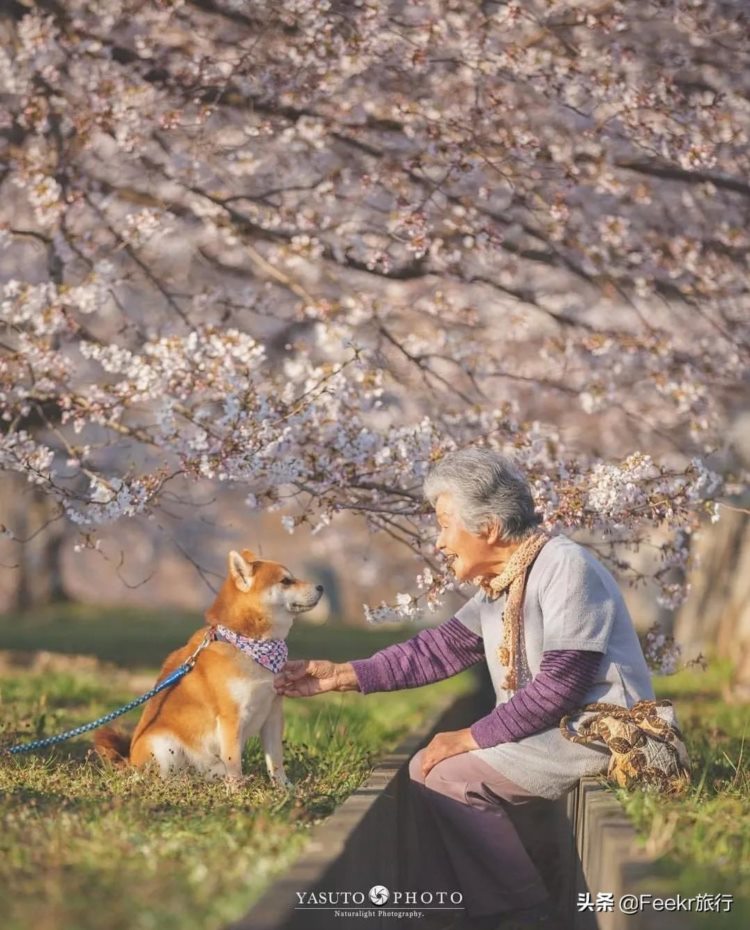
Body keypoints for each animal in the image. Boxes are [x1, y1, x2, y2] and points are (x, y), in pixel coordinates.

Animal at [94, 548, 324, 780]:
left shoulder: (272, 713)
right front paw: (238, 788)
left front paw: (284, 787)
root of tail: (129, 761)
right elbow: (234, 763)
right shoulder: (231, 718)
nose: (321, 587)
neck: (248, 644)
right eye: (286, 581)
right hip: (163, 746)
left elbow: (276, 762)